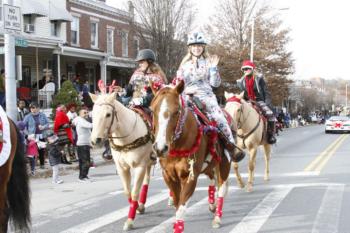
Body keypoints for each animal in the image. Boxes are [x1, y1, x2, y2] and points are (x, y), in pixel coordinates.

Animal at [90, 81, 154, 230]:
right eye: (92, 114)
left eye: (108, 114)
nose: (95, 140)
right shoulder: (122, 168)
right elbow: (127, 191)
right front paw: (137, 208)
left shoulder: (139, 166)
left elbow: (135, 191)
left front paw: (130, 221)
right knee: (147, 180)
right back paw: (142, 204)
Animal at [151, 81, 231, 232]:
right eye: (153, 111)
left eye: (176, 111)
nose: (160, 148)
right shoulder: (169, 176)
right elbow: (177, 204)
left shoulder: (190, 176)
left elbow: (181, 207)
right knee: (212, 178)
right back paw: (212, 204)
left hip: (224, 163)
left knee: (222, 187)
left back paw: (217, 217)